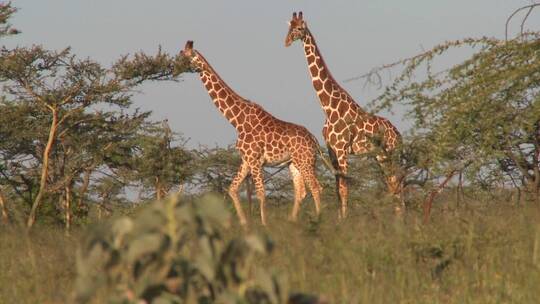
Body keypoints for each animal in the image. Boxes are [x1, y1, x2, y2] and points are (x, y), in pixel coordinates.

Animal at [179, 40, 322, 226]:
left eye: (182, 55)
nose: (175, 67)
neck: (236, 121)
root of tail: (314, 139)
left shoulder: (255, 160)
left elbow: (260, 193)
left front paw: (264, 225)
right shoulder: (246, 160)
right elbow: (232, 189)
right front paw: (242, 223)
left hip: (305, 161)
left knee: (316, 187)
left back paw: (320, 221)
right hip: (294, 163)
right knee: (301, 191)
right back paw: (292, 222)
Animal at [284, 11, 402, 216]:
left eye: (298, 28)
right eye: (288, 27)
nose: (286, 41)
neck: (328, 107)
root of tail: (399, 134)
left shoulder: (341, 150)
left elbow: (344, 188)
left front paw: (344, 220)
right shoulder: (332, 150)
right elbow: (338, 189)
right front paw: (339, 218)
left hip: (390, 153)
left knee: (397, 184)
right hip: (380, 156)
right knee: (392, 185)